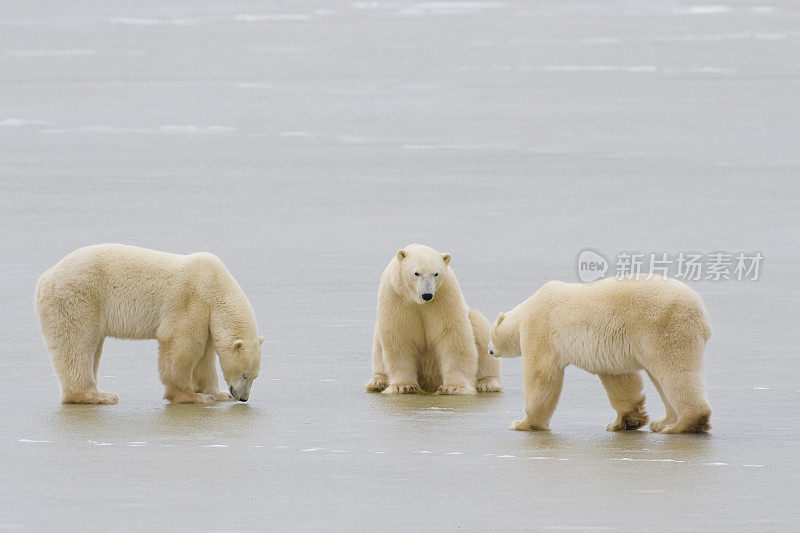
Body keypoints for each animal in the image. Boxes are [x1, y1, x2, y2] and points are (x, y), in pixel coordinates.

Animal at [36, 244, 264, 404]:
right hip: (78, 299)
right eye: (244, 374)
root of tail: (45, 278)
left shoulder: (207, 316)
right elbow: (182, 345)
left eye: (255, 376)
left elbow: (204, 357)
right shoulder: (190, 299)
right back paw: (97, 396)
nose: (242, 398)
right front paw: (190, 396)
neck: (214, 282)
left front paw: (217, 394)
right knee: (77, 344)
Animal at [368, 243, 504, 392]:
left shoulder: (444, 294)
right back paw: (377, 382)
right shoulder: (395, 296)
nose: (427, 295)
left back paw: (486, 383)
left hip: (473, 320)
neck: (416, 300)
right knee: (377, 344)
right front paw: (403, 386)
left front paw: (453, 387)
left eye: (436, 273)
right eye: (416, 273)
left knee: (481, 331)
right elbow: (399, 337)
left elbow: (453, 335)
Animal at [488, 274, 712, 432]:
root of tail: (700, 310)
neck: (525, 311)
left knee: (674, 372)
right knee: (660, 378)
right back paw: (662, 422)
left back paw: (683, 424)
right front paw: (624, 421)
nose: (489, 351)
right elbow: (620, 379)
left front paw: (522, 423)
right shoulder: (610, 352)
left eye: (491, 336)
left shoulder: (541, 328)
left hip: (664, 327)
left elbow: (541, 374)